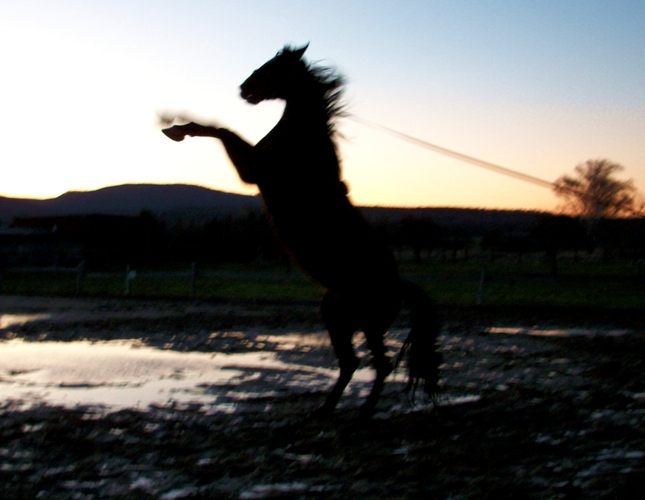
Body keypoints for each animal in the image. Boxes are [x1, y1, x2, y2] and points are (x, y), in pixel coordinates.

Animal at [162, 44, 442, 418]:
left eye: (274, 66)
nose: (243, 89)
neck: (302, 142)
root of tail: (398, 284)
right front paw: (175, 127)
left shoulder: (254, 169)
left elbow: (222, 130)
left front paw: (177, 130)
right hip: (336, 315)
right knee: (351, 363)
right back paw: (324, 410)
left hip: (368, 321)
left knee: (380, 364)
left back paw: (364, 412)